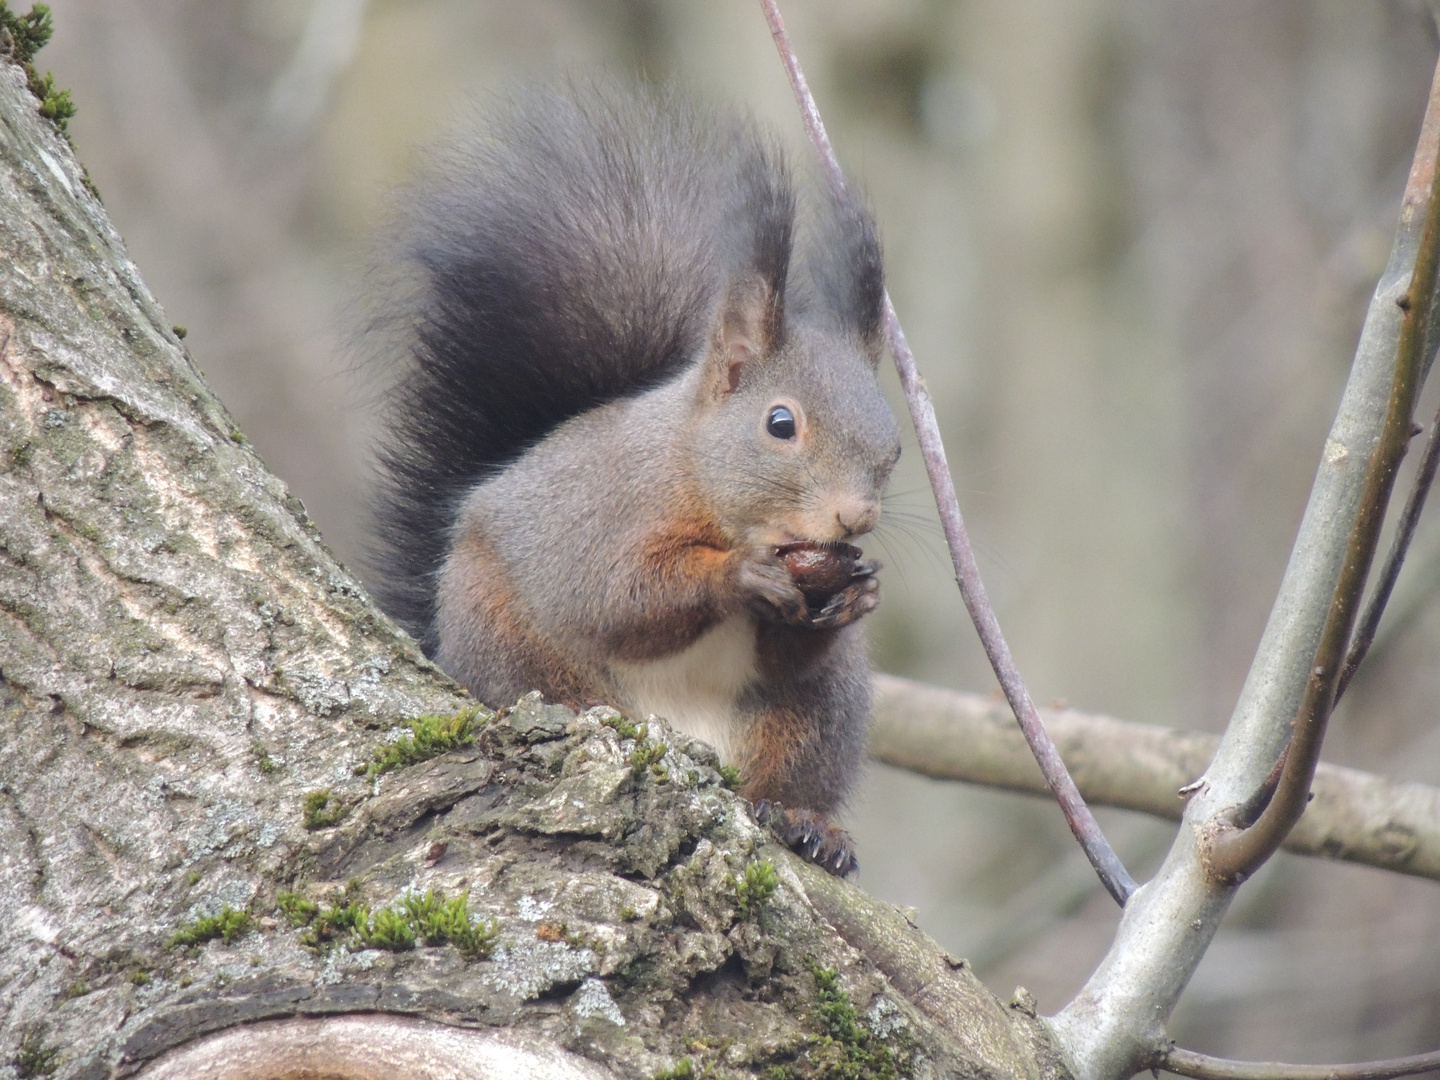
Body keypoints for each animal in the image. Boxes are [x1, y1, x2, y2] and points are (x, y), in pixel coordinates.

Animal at [365, 84, 892, 881]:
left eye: (894, 446)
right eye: (780, 423)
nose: (853, 518)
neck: (694, 467)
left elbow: (786, 648)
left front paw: (856, 596)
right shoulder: (608, 515)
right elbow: (620, 598)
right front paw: (737, 574)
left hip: (817, 716)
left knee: (785, 774)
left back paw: (809, 822)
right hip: (503, 633)